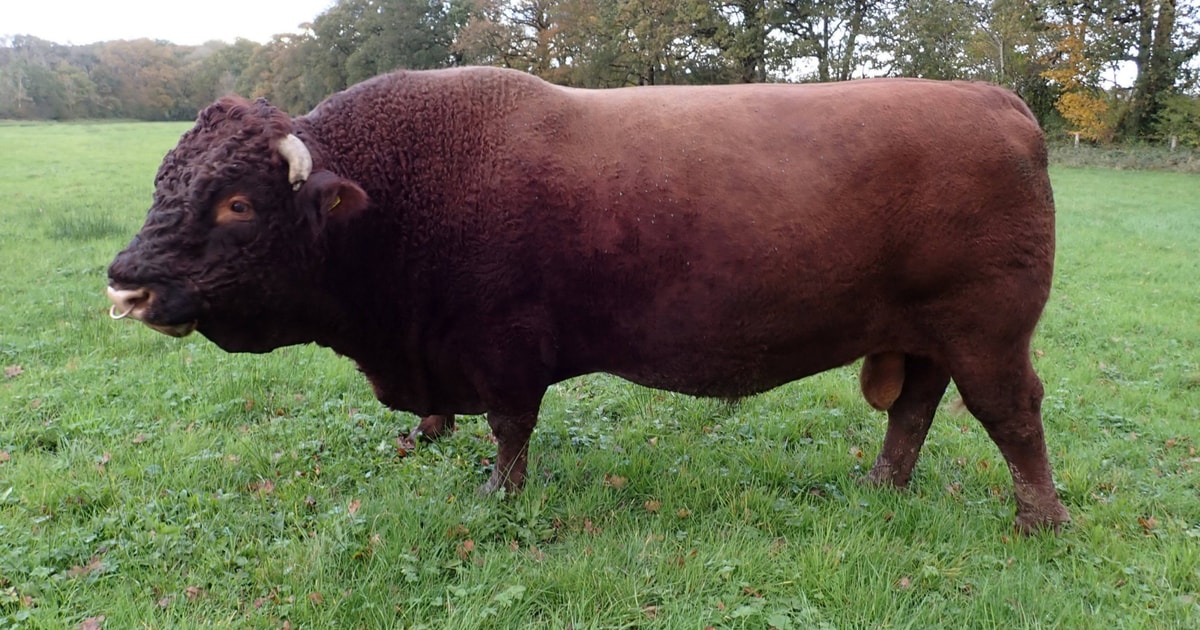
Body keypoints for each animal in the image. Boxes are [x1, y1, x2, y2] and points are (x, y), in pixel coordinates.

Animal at [106, 66, 1069, 534]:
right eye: (164, 181)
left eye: (236, 203)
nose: (126, 282)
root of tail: (995, 100)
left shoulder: (502, 350)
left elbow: (510, 431)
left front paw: (499, 496)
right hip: (929, 340)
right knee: (913, 410)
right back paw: (882, 485)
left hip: (989, 335)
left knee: (1013, 416)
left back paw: (1041, 520)